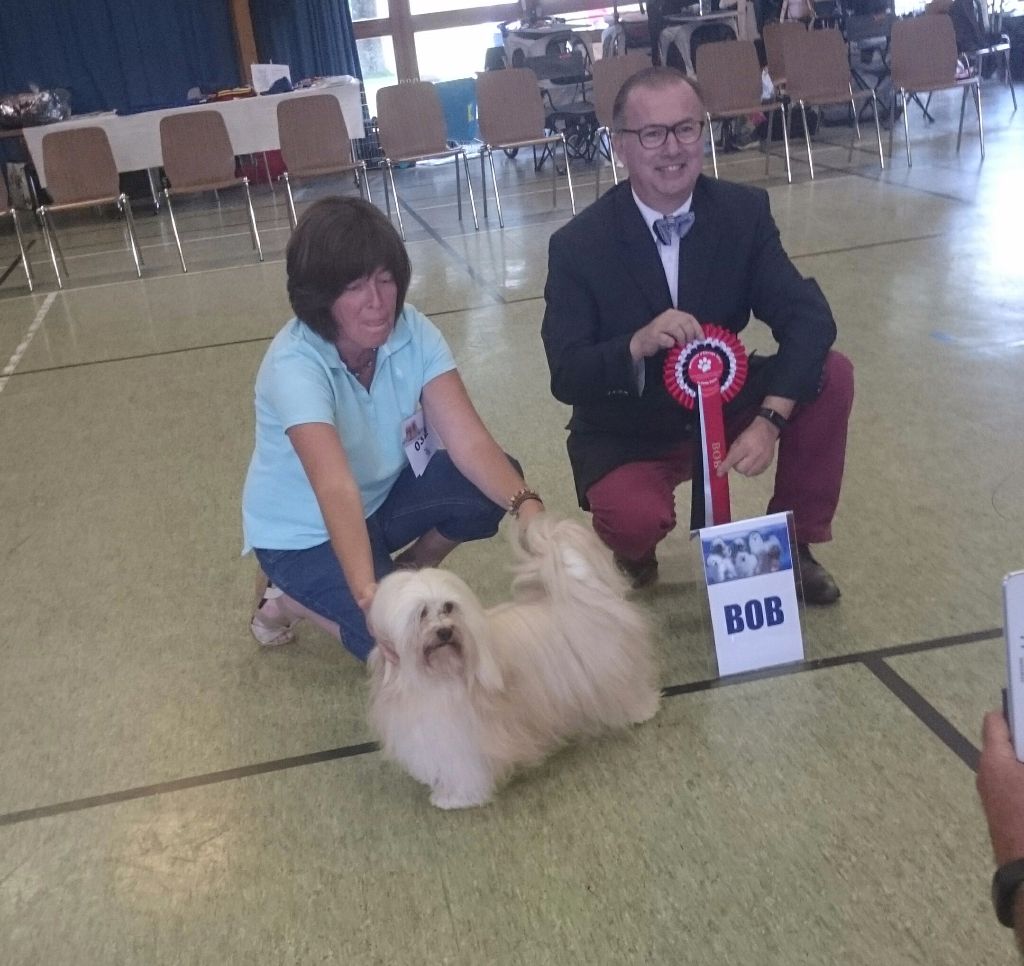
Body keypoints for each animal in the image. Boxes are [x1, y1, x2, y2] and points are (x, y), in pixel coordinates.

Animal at [364, 518, 659, 811]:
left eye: (448, 607)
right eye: (422, 613)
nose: (445, 631)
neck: (438, 678)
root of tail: (583, 591)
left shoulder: (464, 742)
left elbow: (466, 771)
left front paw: (457, 798)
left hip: (610, 669)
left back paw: (642, 710)